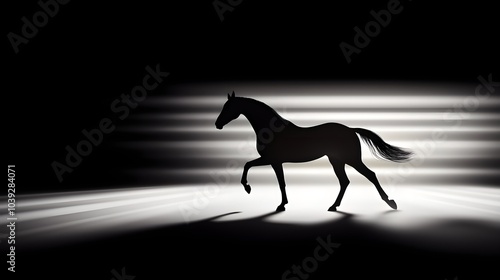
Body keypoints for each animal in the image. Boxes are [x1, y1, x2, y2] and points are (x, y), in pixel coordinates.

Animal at [217, 92, 412, 212]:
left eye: (228, 107)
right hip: (337, 160)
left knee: (370, 175)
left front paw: (250, 189)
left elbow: (250, 166)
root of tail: (350, 129)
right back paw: (334, 206)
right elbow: (277, 180)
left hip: (351, 159)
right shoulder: (274, 161)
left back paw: (391, 203)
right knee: (345, 181)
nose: (217, 124)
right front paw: (282, 204)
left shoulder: (271, 159)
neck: (271, 130)